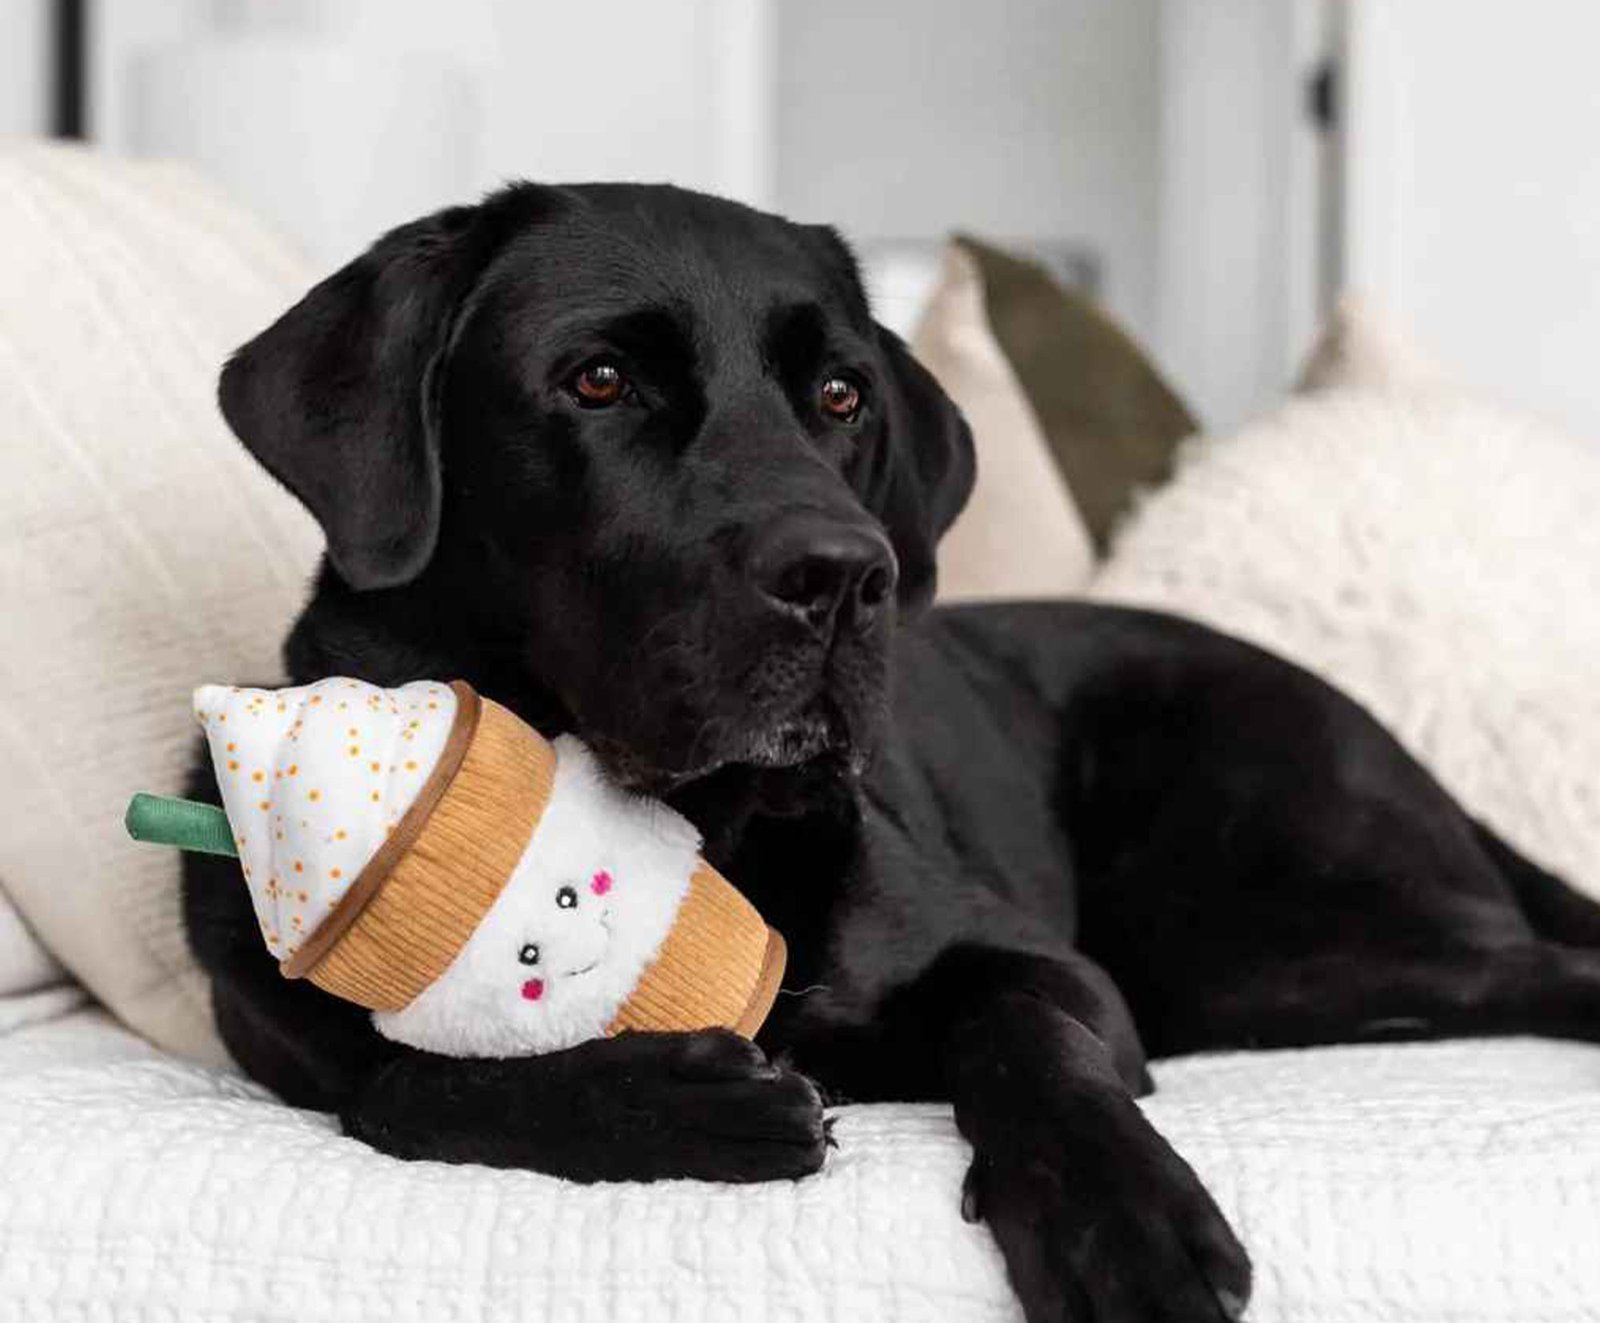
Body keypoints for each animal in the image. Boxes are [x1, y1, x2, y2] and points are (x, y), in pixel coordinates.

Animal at [181, 183, 1600, 1323]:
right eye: (598, 381)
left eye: (839, 395)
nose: (845, 576)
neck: (706, 826)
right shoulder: (293, 1035)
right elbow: (414, 1083)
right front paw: (695, 1102)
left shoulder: (1058, 973)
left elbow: (1027, 1027)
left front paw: (1122, 1216)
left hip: (1292, 925)